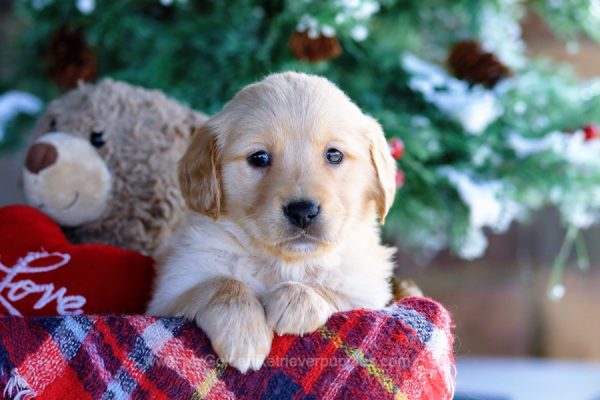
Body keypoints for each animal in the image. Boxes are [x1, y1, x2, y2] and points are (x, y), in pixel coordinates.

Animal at [146, 71, 398, 372]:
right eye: (259, 157)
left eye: (334, 154)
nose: (303, 211)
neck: (282, 263)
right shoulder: (173, 288)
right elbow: (222, 284)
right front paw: (243, 333)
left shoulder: (368, 293)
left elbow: (334, 292)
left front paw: (296, 299)